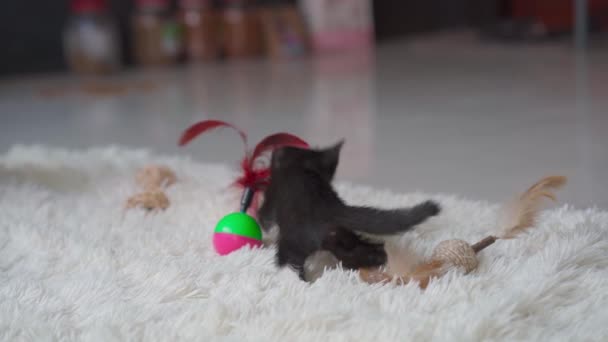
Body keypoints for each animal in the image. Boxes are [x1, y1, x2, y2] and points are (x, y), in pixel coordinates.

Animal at [258, 142, 442, 280]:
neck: (301, 166)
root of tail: (329, 207)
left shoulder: (271, 195)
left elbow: (264, 216)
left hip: (293, 241)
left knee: (289, 262)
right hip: (342, 237)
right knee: (358, 251)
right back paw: (379, 259)